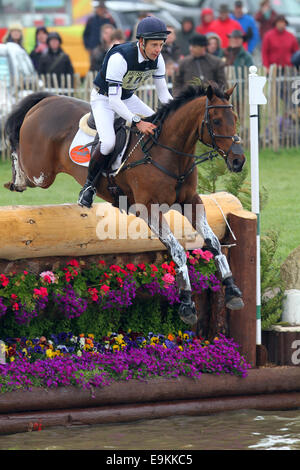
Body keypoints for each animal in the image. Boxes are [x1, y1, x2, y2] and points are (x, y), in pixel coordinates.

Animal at [4, 82, 246, 324]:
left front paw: (232, 290)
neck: (167, 152)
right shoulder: (149, 208)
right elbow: (177, 251)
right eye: (216, 120)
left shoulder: (190, 201)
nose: (238, 161)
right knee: (21, 158)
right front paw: (187, 304)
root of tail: (47, 100)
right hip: (41, 173)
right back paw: (17, 180)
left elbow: (213, 242)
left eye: (234, 117)